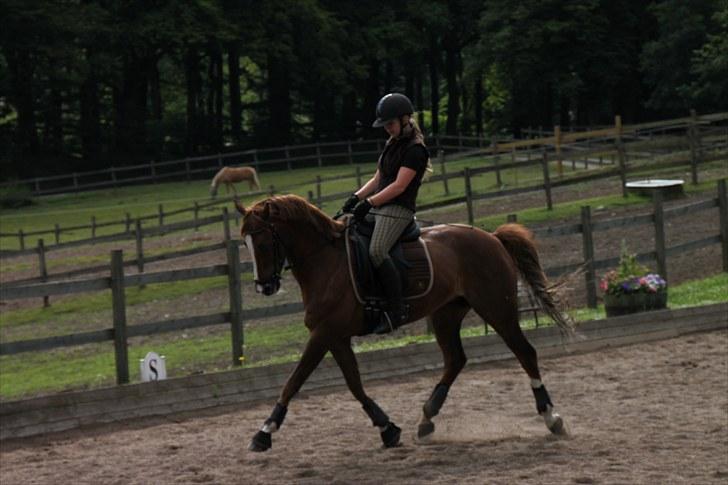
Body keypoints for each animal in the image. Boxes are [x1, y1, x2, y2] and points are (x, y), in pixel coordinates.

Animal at [236, 195, 572, 452]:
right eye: (245, 244)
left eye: (262, 243)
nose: (264, 287)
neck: (327, 263)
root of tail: (492, 237)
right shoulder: (336, 337)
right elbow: (354, 385)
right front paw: (387, 428)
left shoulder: (323, 333)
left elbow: (294, 381)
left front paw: (264, 432)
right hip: (447, 313)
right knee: (455, 359)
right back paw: (426, 419)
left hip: (496, 308)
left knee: (525, 352)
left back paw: (552, 418)